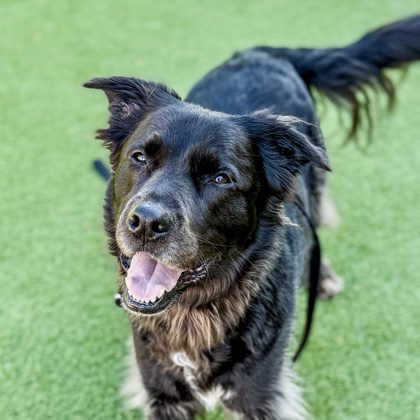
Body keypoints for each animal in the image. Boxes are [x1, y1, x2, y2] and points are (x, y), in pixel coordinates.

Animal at [85, 16, 420, 419]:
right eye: (139, 157)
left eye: (221, 178)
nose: (147, 223)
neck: (196, 312)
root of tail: (263, 51)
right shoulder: (162, 392)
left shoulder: (261, 394)